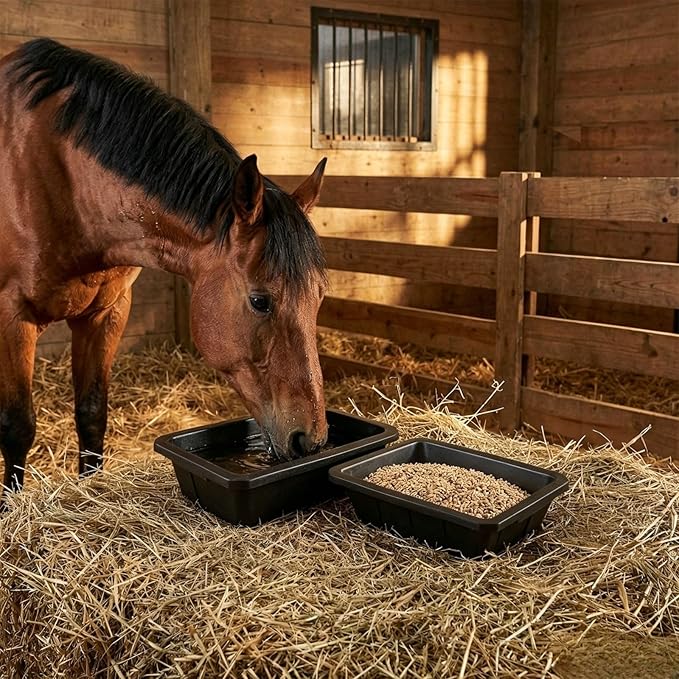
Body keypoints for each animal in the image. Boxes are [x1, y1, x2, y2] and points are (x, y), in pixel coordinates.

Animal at [0, 38, 329, 494]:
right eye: (260, 301)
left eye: (320, 296)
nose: (309, 440)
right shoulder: (13, 316)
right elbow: (17, 428)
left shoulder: (106, 313)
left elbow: (91, 413)